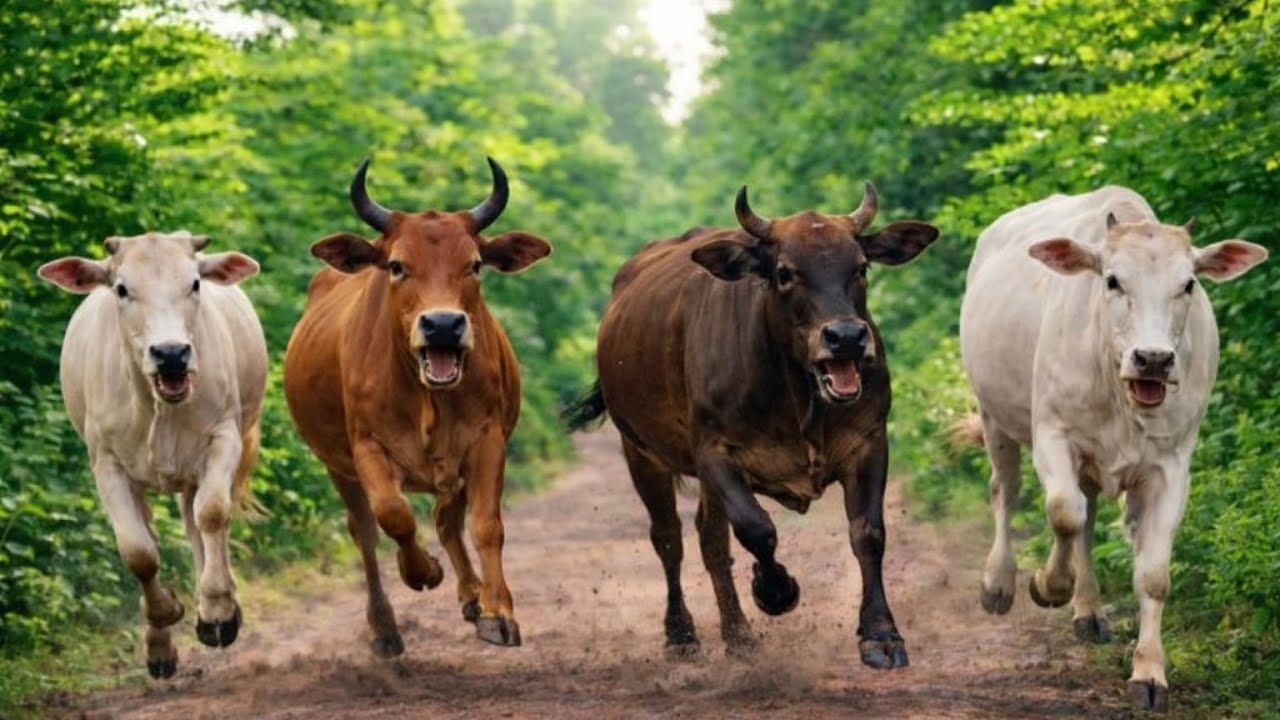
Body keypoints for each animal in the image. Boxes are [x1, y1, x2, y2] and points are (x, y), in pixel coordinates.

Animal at [37, 231, 267, 678]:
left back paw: (217, 609)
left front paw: (217, 612)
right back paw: (160, 644)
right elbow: (138, 551)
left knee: (198, 522)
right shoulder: (106, 463)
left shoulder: (224, 438)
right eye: (122, 289)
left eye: (195, 283)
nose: (172, 353)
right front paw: (164, 617)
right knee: (157, 530)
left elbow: (213, 513)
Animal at [283, 157, 550, 656]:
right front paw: (423, 571)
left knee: (446, 520)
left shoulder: (486, 441)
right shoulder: (366, 447)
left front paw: (498, 611)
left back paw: (472, 597)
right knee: (365, 532)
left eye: (475, 264)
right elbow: (394, 514)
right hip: (336, 466)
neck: (427, 397)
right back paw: (386, 628)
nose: (443, 324)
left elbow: (487, 525)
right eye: (396, 265)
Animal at [564, 183, 939, 668]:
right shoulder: (714, 454)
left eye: (860, 267)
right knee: (669, 538)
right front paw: (775, 590)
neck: (798, 397)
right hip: (640, 452)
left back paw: (739, 635)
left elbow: (868, 533)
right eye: (784, 272)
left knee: (710, 540)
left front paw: (881, 635)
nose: (846, 338)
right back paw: (681, 635)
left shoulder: (869, 443)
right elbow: (756, 528)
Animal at [957, 186, 1267, 711]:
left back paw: (1089, 611)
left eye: (1188, 284)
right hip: (994, 414)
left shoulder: (1171, 467)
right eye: (1112, 280)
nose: (1154, 359)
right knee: (1008, 491)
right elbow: (1063, 512)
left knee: (1088, 515)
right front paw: (1048, 585)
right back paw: (999, 583)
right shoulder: (1053, 434)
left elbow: (1152, 574)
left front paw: (1149, 674)